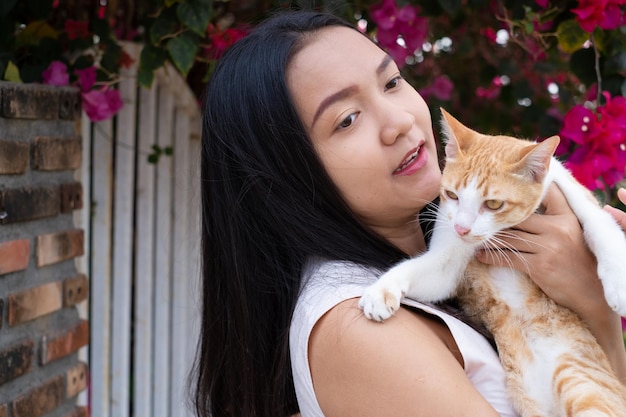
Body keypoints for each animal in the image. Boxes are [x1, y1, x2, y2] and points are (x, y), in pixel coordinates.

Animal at [358, 108, 626, 416]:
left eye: (494, 204)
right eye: (452, 195)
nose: (461, 229)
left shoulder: (570, 188)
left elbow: (600, 224)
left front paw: (619, 285)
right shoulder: (446, 266)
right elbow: (420, 269)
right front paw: (381, 291)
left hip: (583, 385)